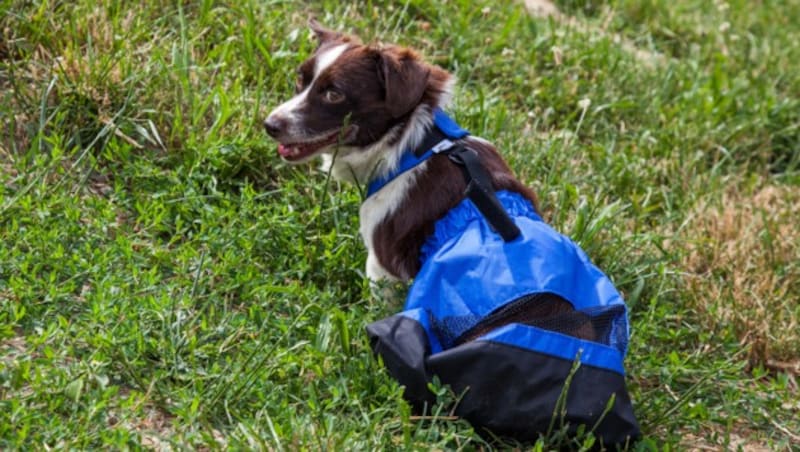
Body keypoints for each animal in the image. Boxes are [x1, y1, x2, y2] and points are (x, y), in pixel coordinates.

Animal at [266, 20, 640, 444]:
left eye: (333, 93)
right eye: (301, 81)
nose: (269, 125)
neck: (414, 144)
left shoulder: (382, 266)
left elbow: (379, 301)